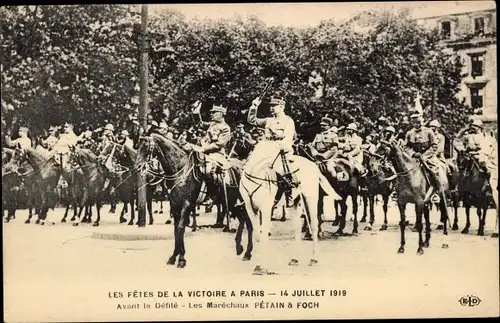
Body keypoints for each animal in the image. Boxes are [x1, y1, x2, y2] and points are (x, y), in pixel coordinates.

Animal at [135, 132, 252, 268]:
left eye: (146, 147)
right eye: (138, 146)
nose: (137, 167)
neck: (180, 171)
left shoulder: (187, 204)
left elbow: (181, 228)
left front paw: (181, 259)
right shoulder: (175, 205)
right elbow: (176, 230)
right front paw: (174, 257)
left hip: (240, 203)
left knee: (248, 222)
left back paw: (247, 253)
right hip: (232, 203)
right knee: (242, 220)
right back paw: (239, 248)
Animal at [238, 141, 340, 274]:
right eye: (287, 158)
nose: (290, 180)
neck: (255, 175)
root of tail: (313, 165)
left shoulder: (266, 209)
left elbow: (264, 234)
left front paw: (261, 266)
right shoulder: (251, 209)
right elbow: (258, 236)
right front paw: (257, 263)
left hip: (310, 200)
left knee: (314, 226)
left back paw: (314, 258)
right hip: (295, 204)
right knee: (297, 229)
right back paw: (294, 259)